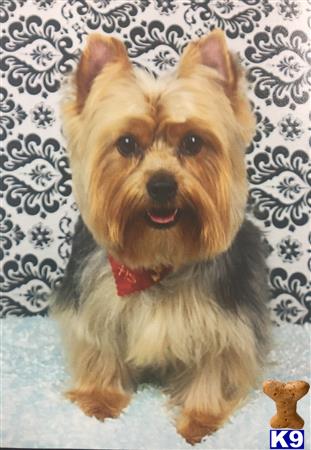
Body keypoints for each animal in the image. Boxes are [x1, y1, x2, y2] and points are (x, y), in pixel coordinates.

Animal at [51, 29, 270, 444]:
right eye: (126, 144)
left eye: (193, 143)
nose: (162, 184)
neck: (158, 262)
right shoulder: (97, 304)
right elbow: (101, 346)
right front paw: (100, 399)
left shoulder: (223, 322)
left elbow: (215, 364)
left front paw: (201, 420)